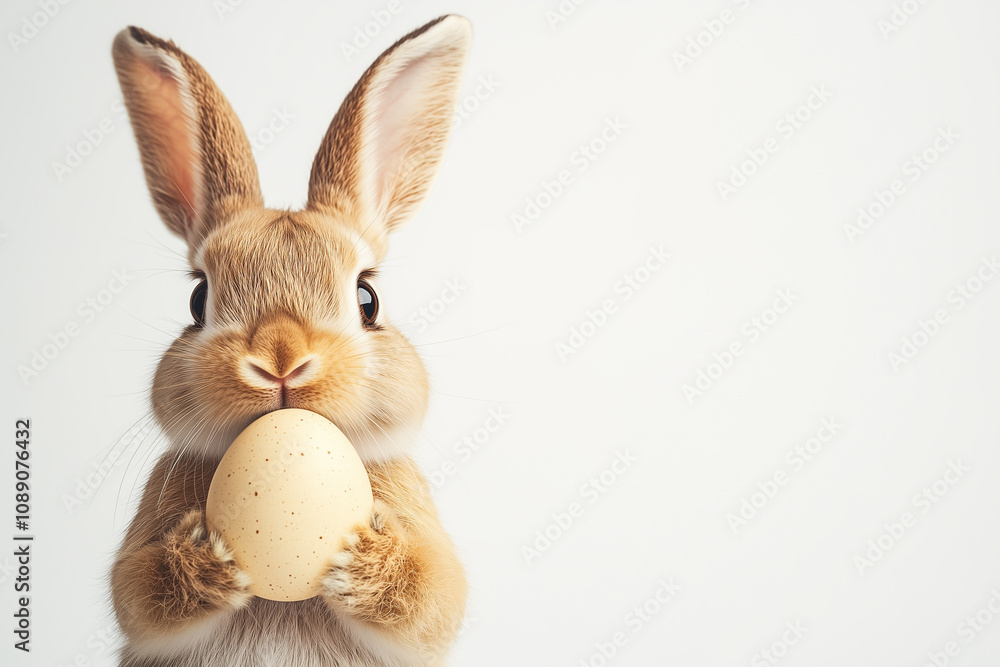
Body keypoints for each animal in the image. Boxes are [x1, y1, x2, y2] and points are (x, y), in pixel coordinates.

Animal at [108, 15, 472, 667]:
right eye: (198, 300)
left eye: (367, 300)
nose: (281, 360)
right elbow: (137, 590)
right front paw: (209, 560)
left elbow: (433, 592)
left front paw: (362, 560)